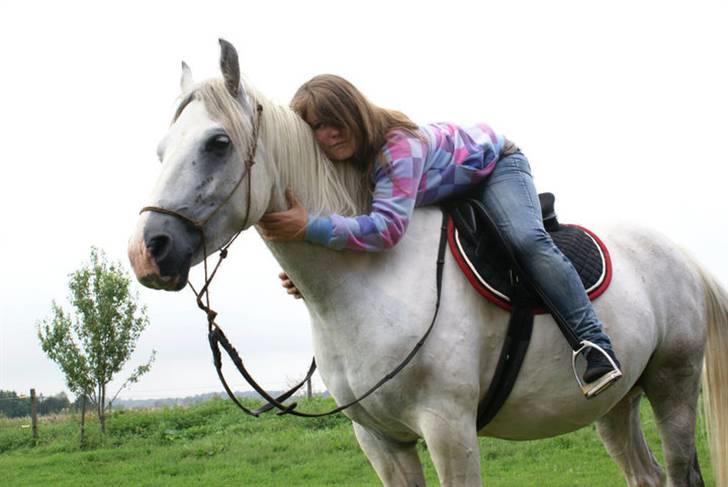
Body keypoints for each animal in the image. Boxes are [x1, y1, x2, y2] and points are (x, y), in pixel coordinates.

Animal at [128, 40, 728, 486]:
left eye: (218, 142)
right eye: (159, 150)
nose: (148, 249)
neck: (368, 286)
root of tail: (681, 256)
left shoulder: (449, 430)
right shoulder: (381, 441)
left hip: (672, 386)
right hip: (617, 405)